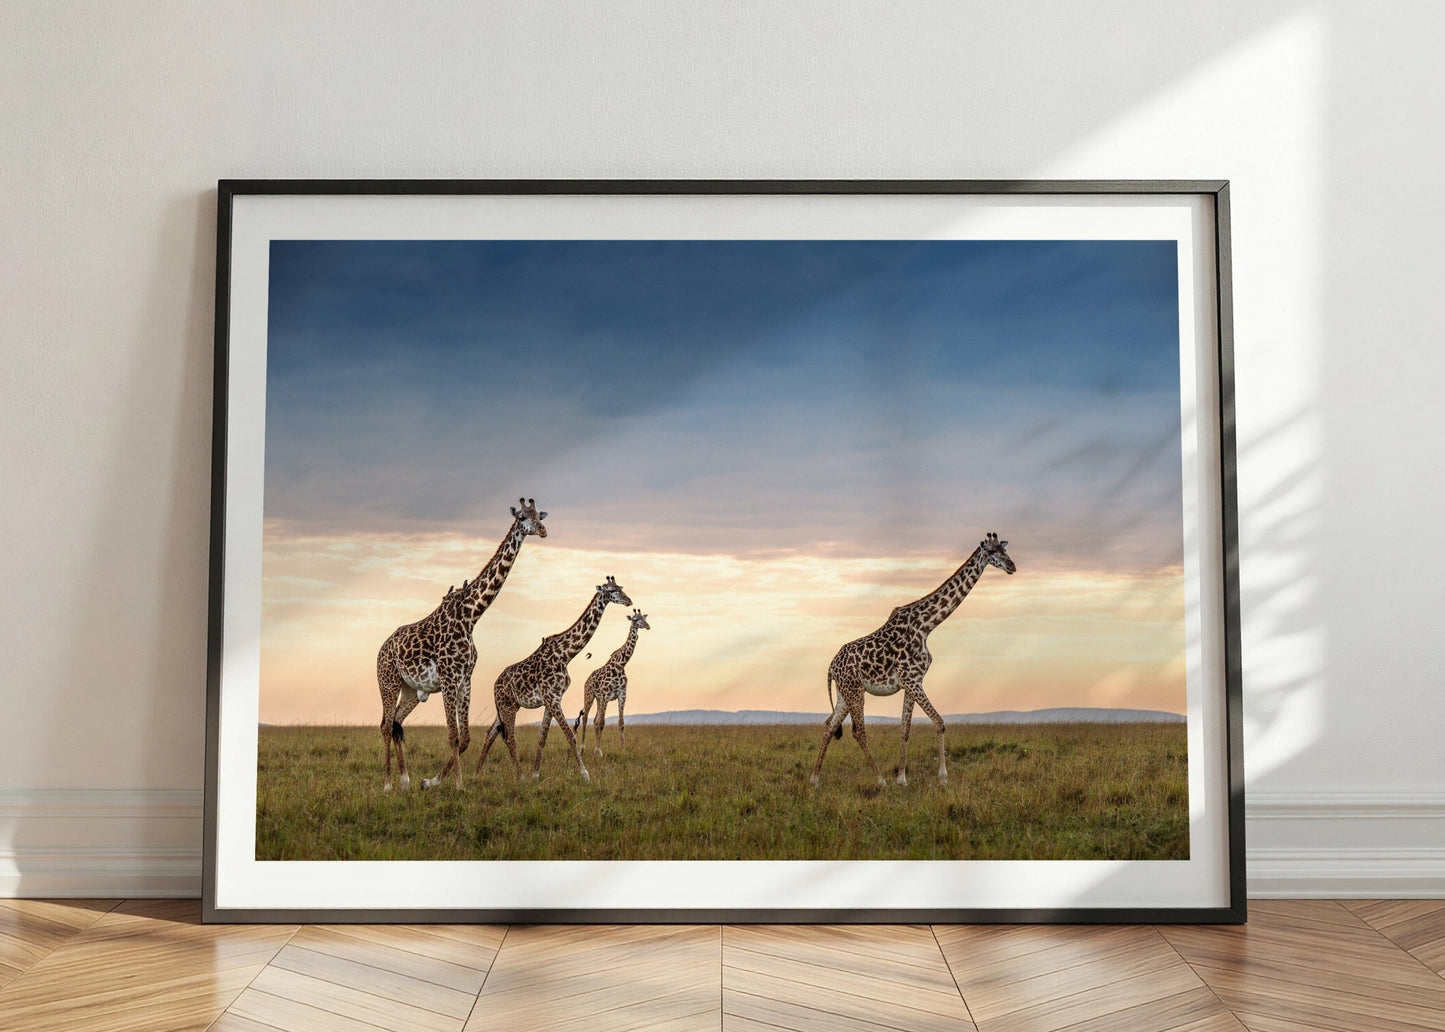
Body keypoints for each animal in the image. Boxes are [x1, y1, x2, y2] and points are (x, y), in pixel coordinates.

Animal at [375, 498, 548, 792]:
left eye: (539, 515)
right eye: (523, 516)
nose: (543, 530)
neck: (471, 615)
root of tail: (380, 650)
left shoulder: (465, 679)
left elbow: (465, 737)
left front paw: (432, 780)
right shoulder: (448, 678)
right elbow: (453, 735)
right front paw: (458, 785)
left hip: (411, 690)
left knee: (396, 722)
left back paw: (405, 780)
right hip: (388, 681)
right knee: (386, 725)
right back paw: (387, 784)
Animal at [474, 576, 632, 782]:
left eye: (621, 587)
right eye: (612, 590)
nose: (629, 601)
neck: (566, 654)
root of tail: (494, 686)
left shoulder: (552, 700)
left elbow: (542, 737)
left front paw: (535, 774)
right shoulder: (553, 698)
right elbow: (570, 735)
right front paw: (585, 774)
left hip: (507, 706)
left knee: (490, 733)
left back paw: (477, 773)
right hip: (507, 706)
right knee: (509, 737)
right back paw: (520, 776)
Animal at [574, 608, 650, 756]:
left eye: (644, 618)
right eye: (635, 619)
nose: (648, 626)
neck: (621, 665)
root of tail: (587, 680)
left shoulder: (621, 695)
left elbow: (621, 723)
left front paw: (623, 749)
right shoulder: (605, 695)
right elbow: (602, 724)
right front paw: (600, 751)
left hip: (599, 699)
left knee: (594, 720)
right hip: (590, 696)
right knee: (586, 718)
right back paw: (582, 748)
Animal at [810, 532, 1016, 787]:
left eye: (1005, 550)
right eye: (992, 552)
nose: (1012, 566)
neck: (927, 625)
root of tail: (830, 667)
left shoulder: (912, 682)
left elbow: (904, 729)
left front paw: (902, 779)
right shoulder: (912, 679)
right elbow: (939, 722)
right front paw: (943, 777)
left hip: (843, 693)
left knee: (829, 726)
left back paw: (815, 778)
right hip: (854, 691)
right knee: (858, 731)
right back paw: (880, 780)